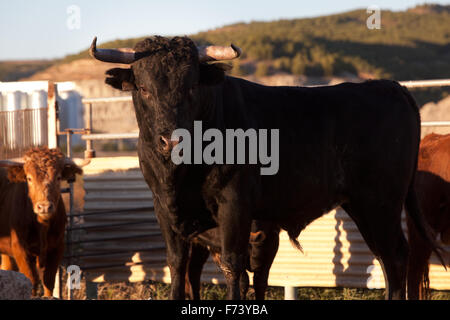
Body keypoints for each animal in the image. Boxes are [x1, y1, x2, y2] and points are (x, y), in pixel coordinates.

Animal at [0, 148, 86, 298]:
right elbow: (31, 279)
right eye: (29, 178)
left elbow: (48, 280)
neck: (42, 226)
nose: (44, 207)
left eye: (58, 177)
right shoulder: (20, 248)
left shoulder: (57, 248)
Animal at [89, 35, 444, 300]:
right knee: (388, 259)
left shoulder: (234, 205)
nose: (172, 140)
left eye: (191, 86)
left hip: (380, 203)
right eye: (143, 88)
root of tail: (391, 86)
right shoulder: (165, 209)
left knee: (396, 257)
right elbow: (177, 266)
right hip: (367, 206)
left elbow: (233, 265)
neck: (181, 172)